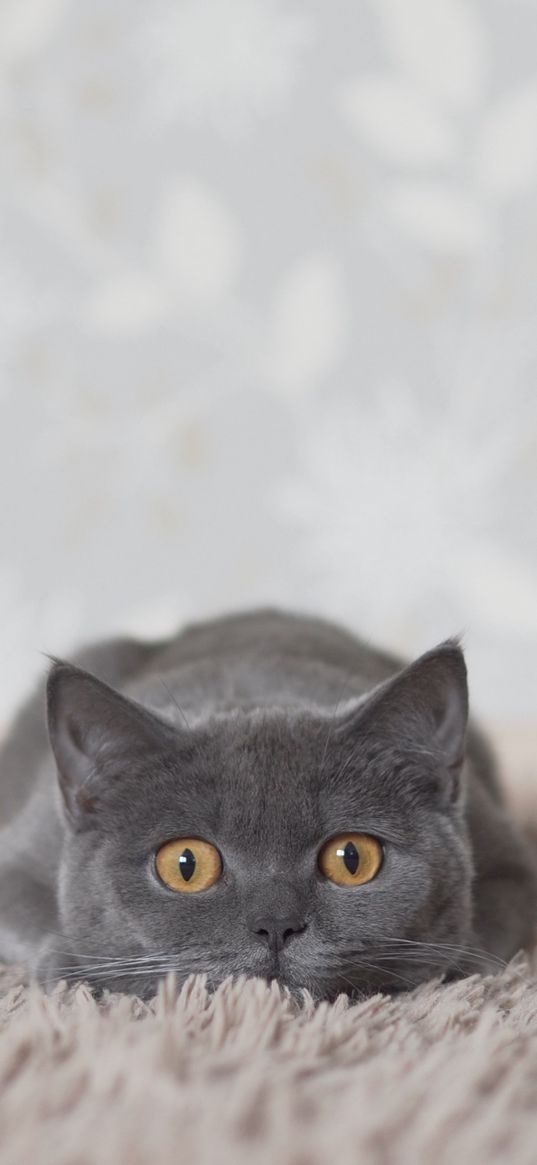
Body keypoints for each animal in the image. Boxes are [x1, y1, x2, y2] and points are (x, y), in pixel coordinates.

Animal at [0, 610, 531, 1001]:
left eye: (352, 858)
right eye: (185, 864)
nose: (275, 925)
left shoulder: (508, 859)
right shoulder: (19, 856)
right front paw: (73, 970)